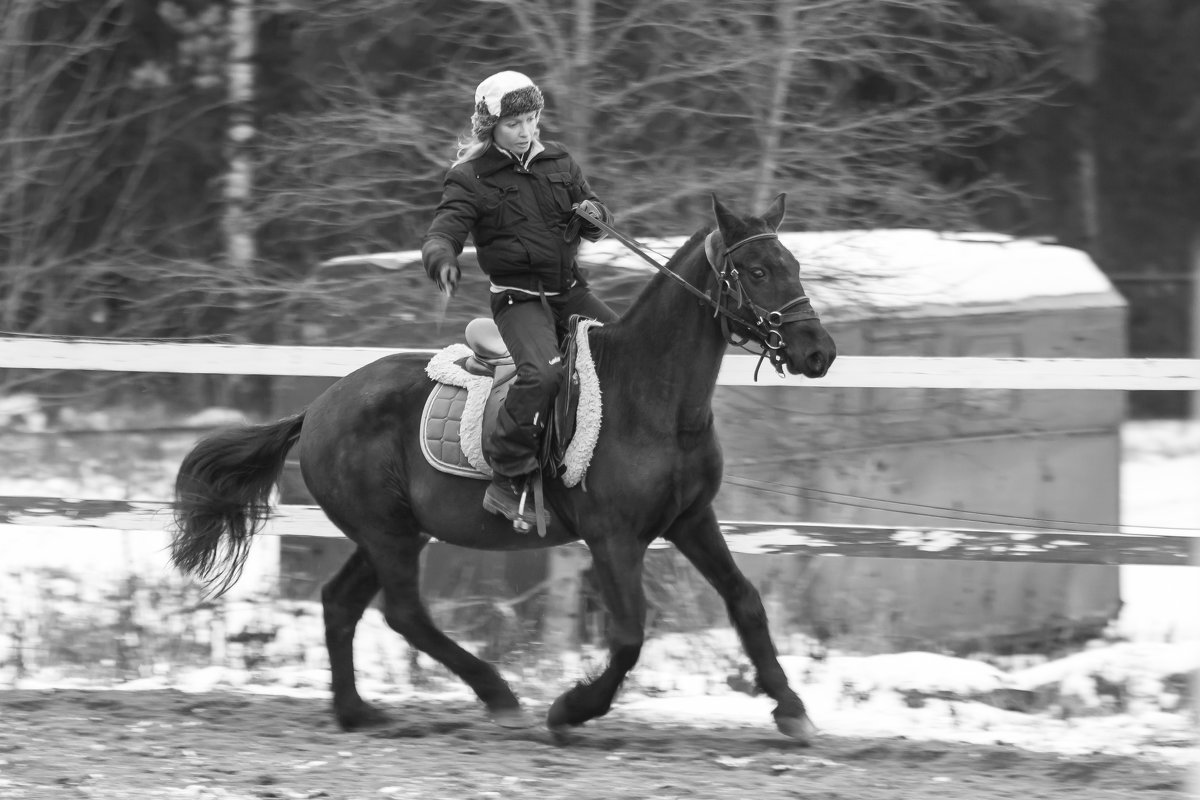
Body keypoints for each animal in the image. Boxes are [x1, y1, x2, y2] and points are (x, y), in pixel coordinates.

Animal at [174, 194, 840, 743]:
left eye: (794, 265)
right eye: (758, 271)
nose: (819, 352)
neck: (651, 397)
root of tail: (317, 406)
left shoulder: (692, 520)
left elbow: (745, 602)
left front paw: (792, 710)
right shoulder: (614, 537)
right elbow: (629, 637)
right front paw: (570, 710)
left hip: (390, 532)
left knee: (342, 603)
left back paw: (357, 711)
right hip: (387, 534)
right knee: (404, 613)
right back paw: (498, 696)